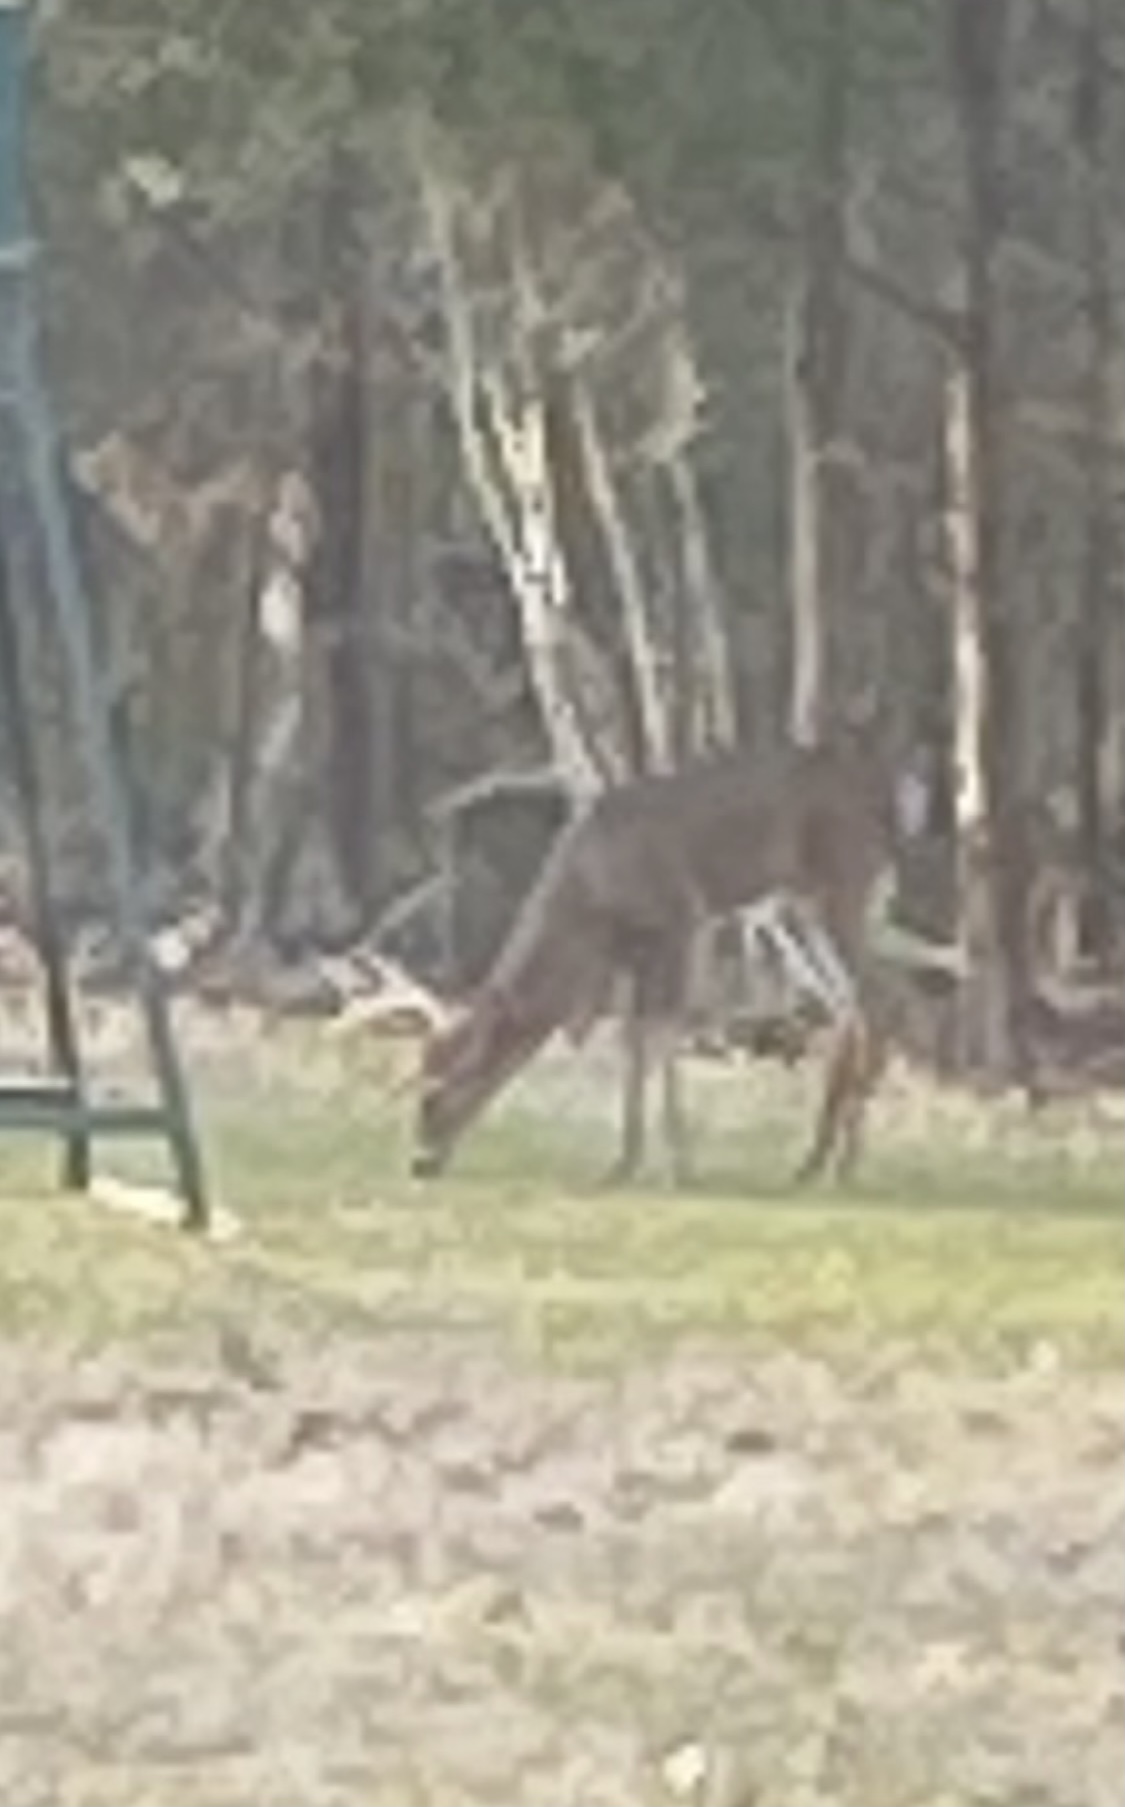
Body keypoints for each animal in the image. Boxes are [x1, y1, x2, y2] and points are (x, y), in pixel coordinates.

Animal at [410, 717, 907, 1186]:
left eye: (436, 1089)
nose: (420, 1161)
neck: (588, 902)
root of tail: (882, 798)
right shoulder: (633, 951)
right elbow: (632, 1038)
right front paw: (625, 1164)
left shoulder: (681, 919)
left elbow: (663, 1031)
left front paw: (676, 1167)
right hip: (806, 903)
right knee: (851, 1002)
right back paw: (819, 1163)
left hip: (842, 883)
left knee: (878, 997)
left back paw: (842, 1163)